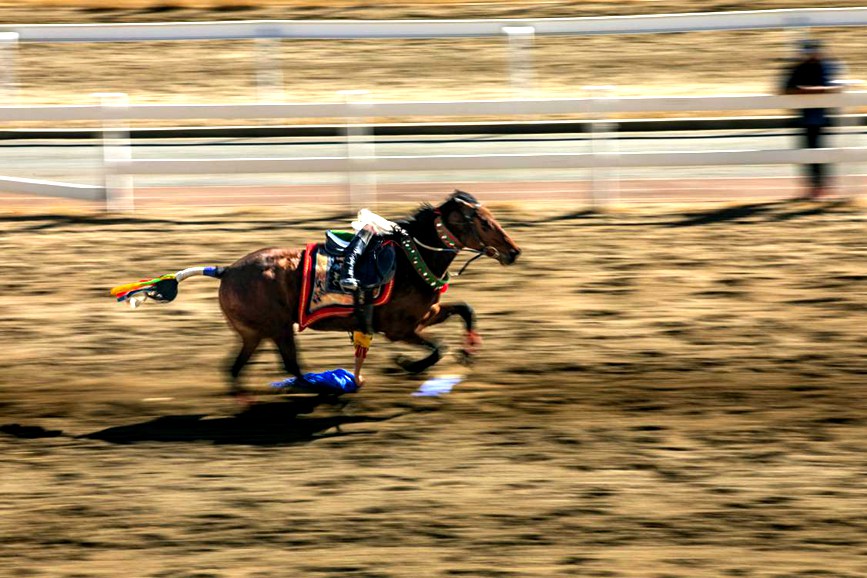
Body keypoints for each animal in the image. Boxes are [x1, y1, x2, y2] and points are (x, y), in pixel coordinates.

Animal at [111, 191, 520, 395]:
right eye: (485, 223)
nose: (514, 251)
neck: (408, 259)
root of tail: (226, 270)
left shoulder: (425, 315)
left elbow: (466, 309)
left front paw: (469, 351)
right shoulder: (399, 328)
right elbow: (436, 349)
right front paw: (403, 364)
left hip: (254, 333)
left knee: (236, 369)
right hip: (276, 328)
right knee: (290, 367)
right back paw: (326, 386)